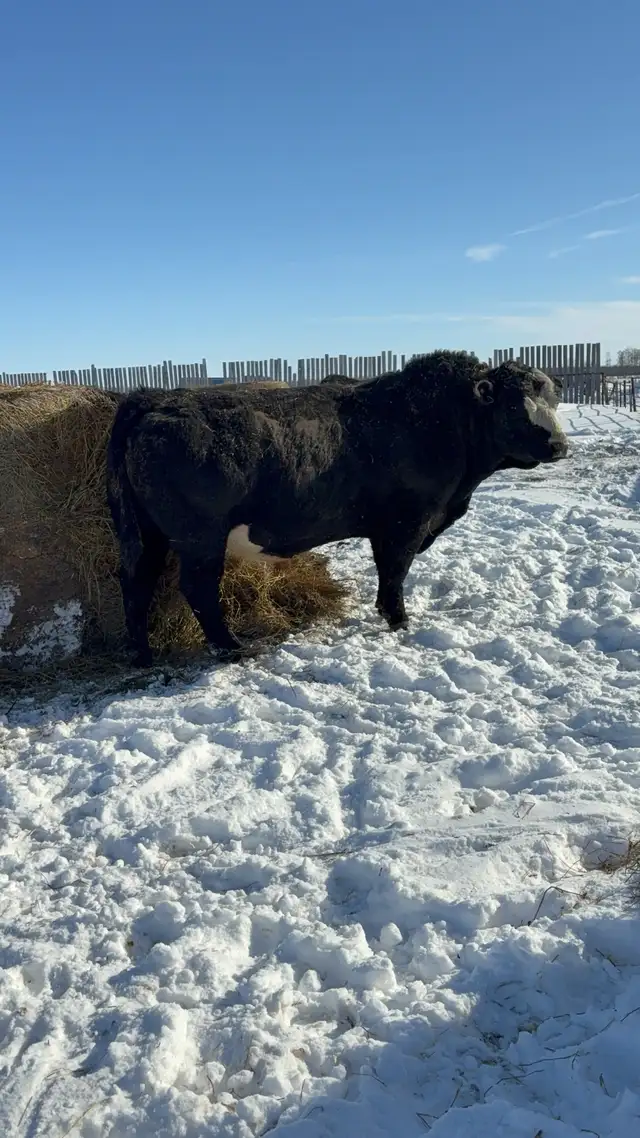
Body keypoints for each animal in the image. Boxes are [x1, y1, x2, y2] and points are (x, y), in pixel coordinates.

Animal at [106, 350, 568, 666]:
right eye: (514, 406)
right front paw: (399, 621)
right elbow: (394, 575)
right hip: (199, 537)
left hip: (147, 533)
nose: (559, 445)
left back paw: (143, 654)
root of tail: (154, 399)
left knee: (136, 582)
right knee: (197, 588)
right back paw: (231, 647)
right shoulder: (405, 523)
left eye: (553, 401)